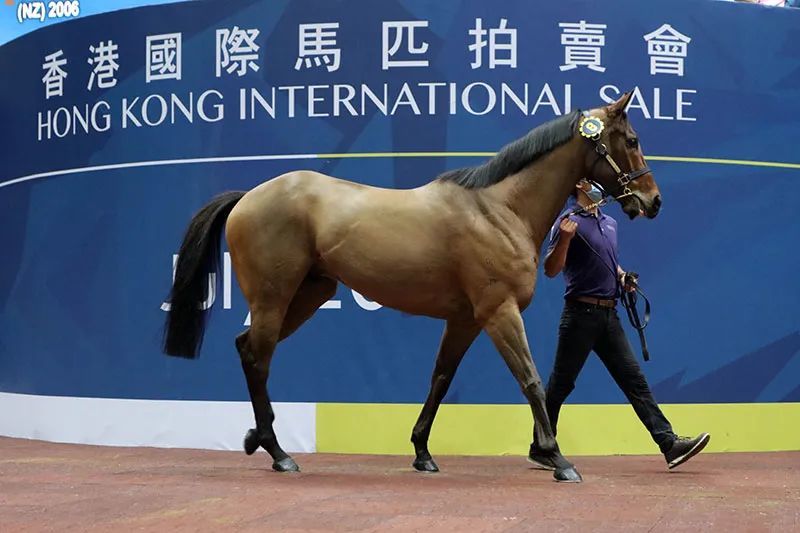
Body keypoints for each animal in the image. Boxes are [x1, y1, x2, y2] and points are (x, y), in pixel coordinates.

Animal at [162, 92, 661, 483]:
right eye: (632, 141)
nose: (652, 201)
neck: (499, 209)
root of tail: (247, 197)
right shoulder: (498, 311)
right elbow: (532, 380)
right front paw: (558, 459)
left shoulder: (465, 320)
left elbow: (440, 379)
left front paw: (422, 452)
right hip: (275, 297)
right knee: (258, 357)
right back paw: (278, 453)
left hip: (308, 295)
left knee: (247, 347)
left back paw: (258, 439)